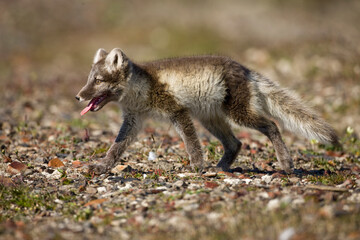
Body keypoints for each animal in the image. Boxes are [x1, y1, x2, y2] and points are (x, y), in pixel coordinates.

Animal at [76, 47, 340, 173]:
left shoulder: (177, 111)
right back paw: (221, 168)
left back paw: (285, 162)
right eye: (89, 79)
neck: (140, 90)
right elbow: (117, 147)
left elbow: (191, 143)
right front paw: (102, 166)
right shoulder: (133, 119)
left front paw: (196, 166)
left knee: (271, 126)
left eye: (98, 80)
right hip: (210, 119)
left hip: (238, 114)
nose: (78, 96)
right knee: (235, 143)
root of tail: (245, 69)